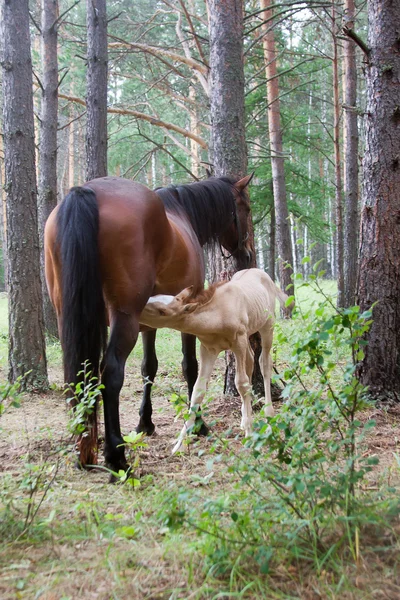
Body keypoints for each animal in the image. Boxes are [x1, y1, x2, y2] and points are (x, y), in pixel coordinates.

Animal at [44, 173, 253, 474]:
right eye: (246, 209)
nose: (247, 254)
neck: (181, 212)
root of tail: (85, 191)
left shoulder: (149, 323)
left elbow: (148, 368)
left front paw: (145, 423)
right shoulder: (189, 315)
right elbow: (191, 368)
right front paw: (199, 425)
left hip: (69, 318)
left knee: (80, 375)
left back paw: (84, 449)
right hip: (125, 319)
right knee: (111, 373)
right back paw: (116, 455)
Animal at [141, 270, 288, 452]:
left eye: (162, 311)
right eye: (155, 296)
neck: (218, 315)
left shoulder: (238, 341)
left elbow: (241, 383)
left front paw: (250, 435)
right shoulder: (208, 349)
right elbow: (198, 390)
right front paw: (178, 444)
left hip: (268, 325)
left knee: (264, 364)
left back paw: (268, 416)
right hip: (248, 336)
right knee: (250, 360)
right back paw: (244, 419)